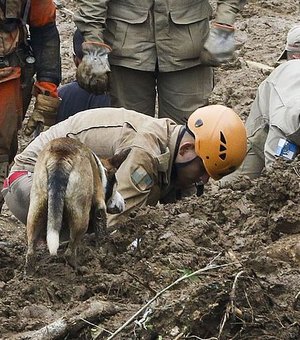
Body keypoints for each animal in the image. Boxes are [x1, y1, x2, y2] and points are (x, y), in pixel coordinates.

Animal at [24, 137, 129, 272]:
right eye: (115, 187)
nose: (124, 202)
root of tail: (61, 156)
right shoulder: (100, 206)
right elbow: (101, 231)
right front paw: (102, 251)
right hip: (81, 216)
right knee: (69, 252)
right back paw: (79, 268)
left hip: (36, 208)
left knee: (31, 250)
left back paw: (30, 273)